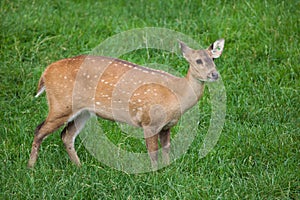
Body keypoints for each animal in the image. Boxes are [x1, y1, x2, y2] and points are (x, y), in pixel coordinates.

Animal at [28, 38, 224, 169]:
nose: (214, 74)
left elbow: (166, 149)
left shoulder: (167, 126)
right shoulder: (149, 121)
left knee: (66, 135)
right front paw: (155, 174)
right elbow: (153, 152)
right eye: (198, 60)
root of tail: (45, 73)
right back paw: (31, 168)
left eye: (213, 59)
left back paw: (79, 167)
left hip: (83, 111)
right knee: (39, 130)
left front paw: (167, 170)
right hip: (61, 103)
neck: (177, 94)